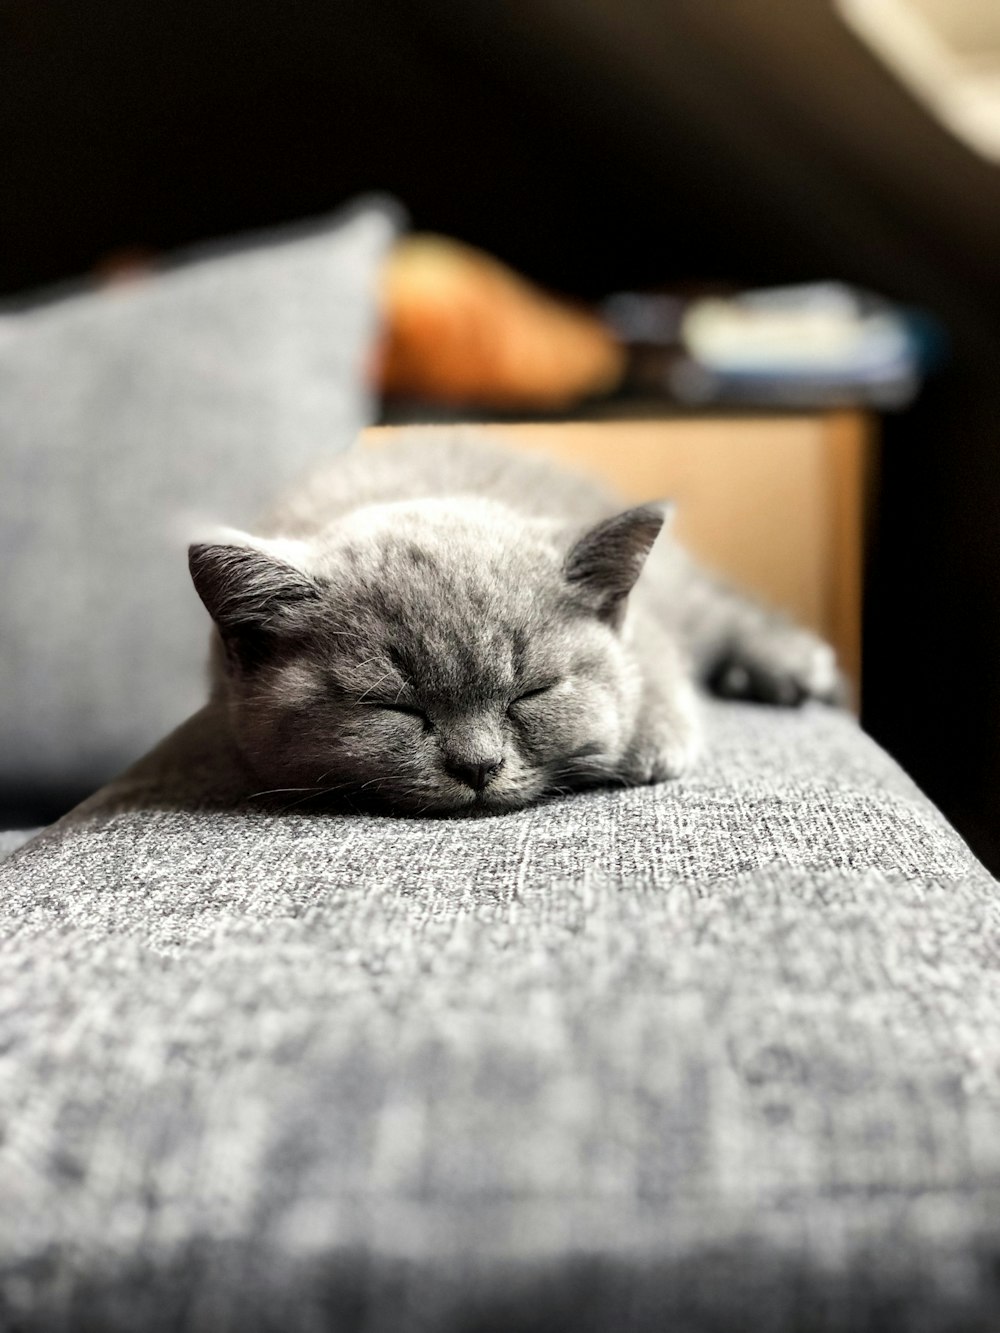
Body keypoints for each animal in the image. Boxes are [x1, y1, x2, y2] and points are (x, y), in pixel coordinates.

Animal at [189, 431, 848, 815]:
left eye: (533, 691)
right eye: (392, 704)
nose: (478, 766)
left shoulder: (650, 624)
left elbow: (653, 661)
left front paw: (653, 739)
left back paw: (790, 668)